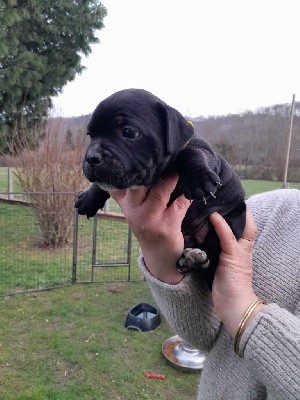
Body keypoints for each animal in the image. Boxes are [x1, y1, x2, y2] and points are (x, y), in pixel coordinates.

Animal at [75, 88, 246, 288]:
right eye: (90, 135)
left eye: (129, 132)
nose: (91, 157)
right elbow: (102, 184)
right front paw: (89, 197)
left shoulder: (205, 152)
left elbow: (191, 152)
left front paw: (199, 179)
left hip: (231, 220)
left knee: (213, 250)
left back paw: (197, 257)